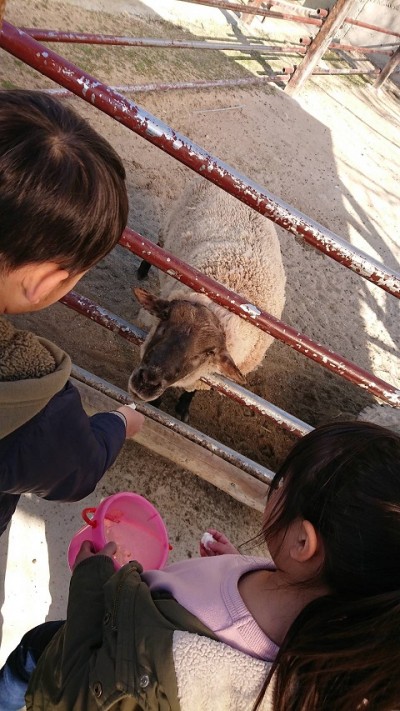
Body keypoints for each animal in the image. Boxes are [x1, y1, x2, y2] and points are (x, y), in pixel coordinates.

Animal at [130, 179, 286, 422]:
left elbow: (192, 390)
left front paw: (183, 409)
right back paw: (143, 269)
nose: (146, 382)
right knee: (157, 244)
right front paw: (156, 405)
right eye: (163, 320)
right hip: (170, 222)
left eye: (207, 353)